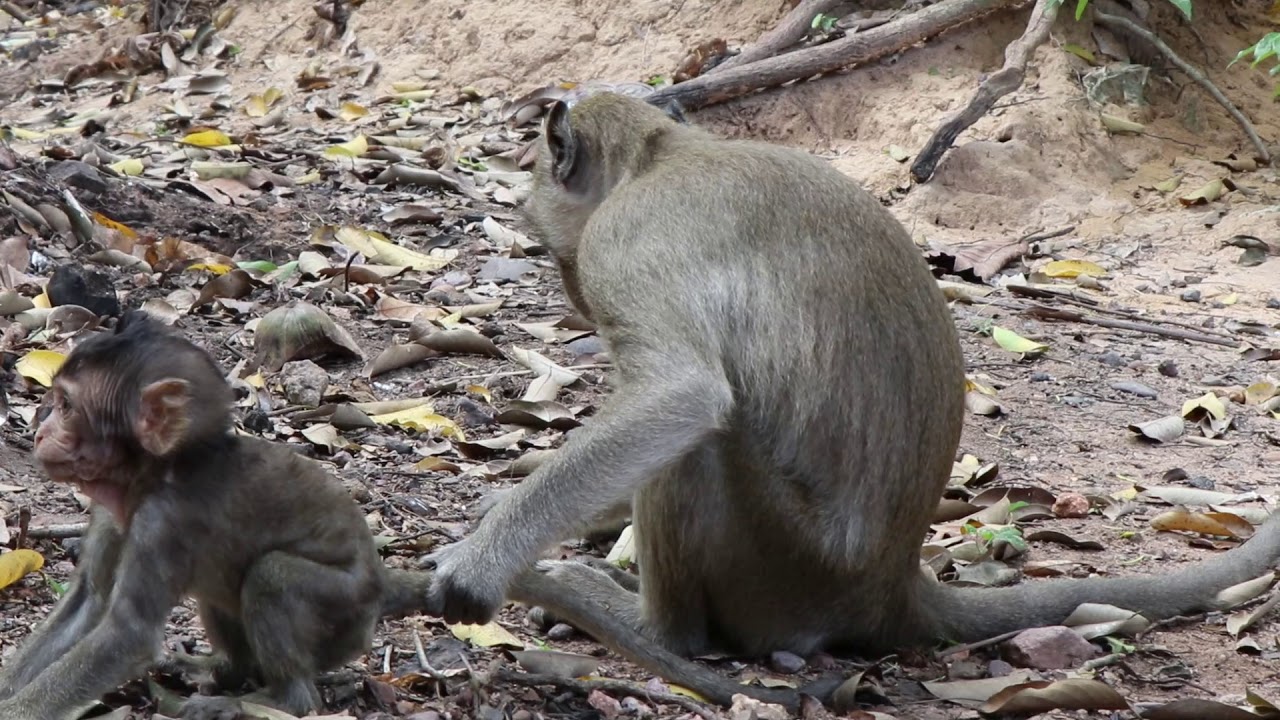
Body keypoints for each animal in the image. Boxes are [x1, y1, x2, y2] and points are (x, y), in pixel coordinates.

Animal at [0, 312, 432, 720]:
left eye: (66, 406)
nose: (40, 429)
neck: (156, 472)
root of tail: (380, 580)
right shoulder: (111, 509)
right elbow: (89, 600)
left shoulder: (166, 519)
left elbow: (128, 632)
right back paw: (221, 670)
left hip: (348, 610)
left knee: (272, 576)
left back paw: (269, 700)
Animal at [421, 92, 1280, 710]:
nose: (564, 289)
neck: (659, 157)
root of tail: (893, 586)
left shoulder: (627, 243)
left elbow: (682, 395)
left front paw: (483, 559)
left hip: (780, 562)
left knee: (709, 441)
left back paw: (650, 628)